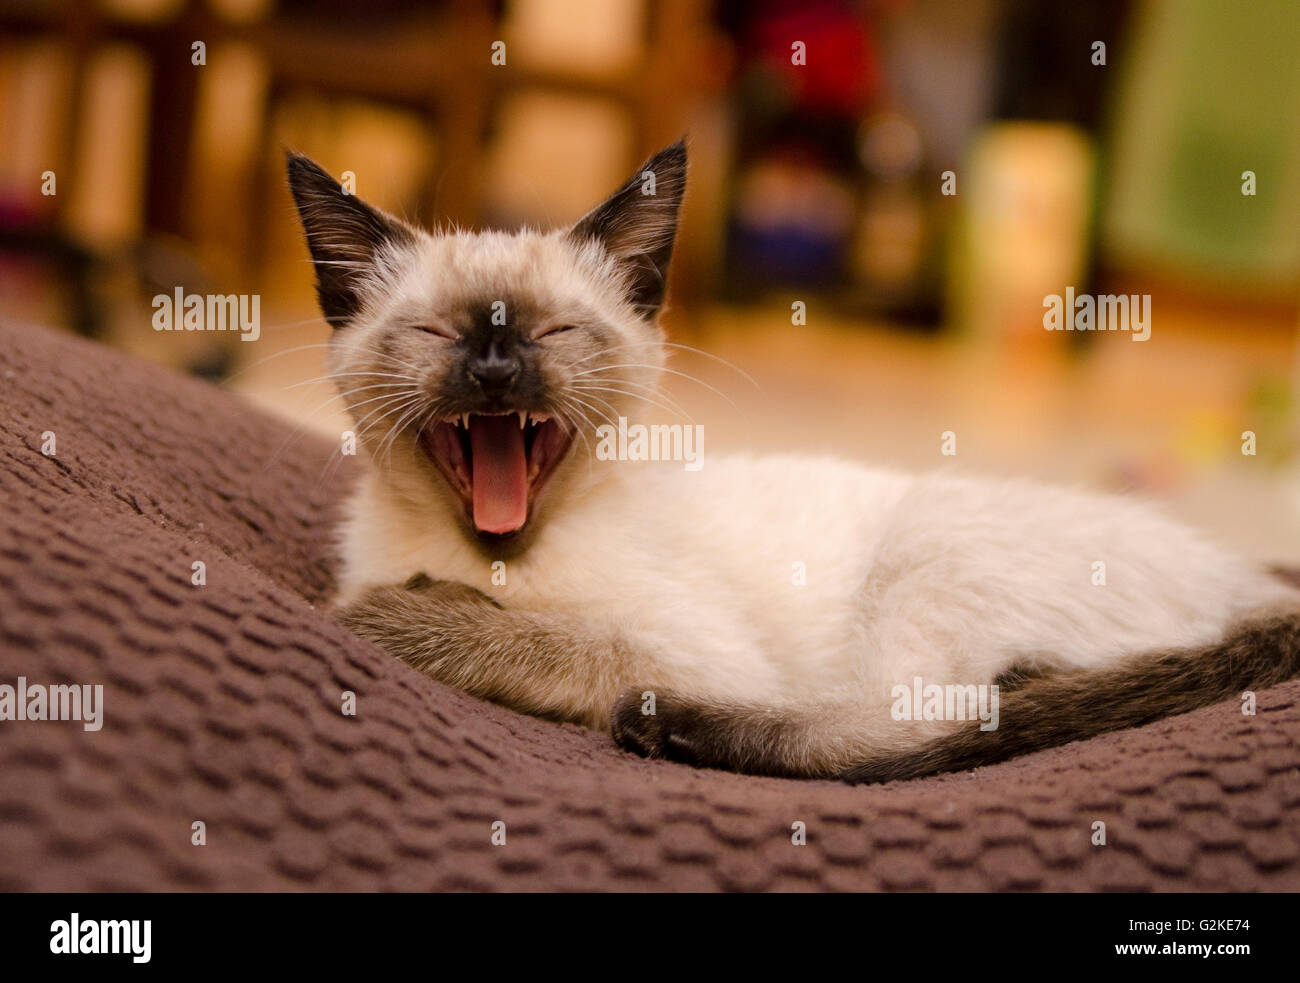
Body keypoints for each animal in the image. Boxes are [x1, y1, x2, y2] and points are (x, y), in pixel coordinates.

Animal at [289, 140, 1300, 785]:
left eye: (552, 333)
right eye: (434, 334)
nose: (496, 370)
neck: (495, 555)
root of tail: (1246, 576)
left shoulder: (695, 650)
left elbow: (557, 639)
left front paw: (390, 618)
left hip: (925, 553)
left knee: (934, 719)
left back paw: (670, 729)